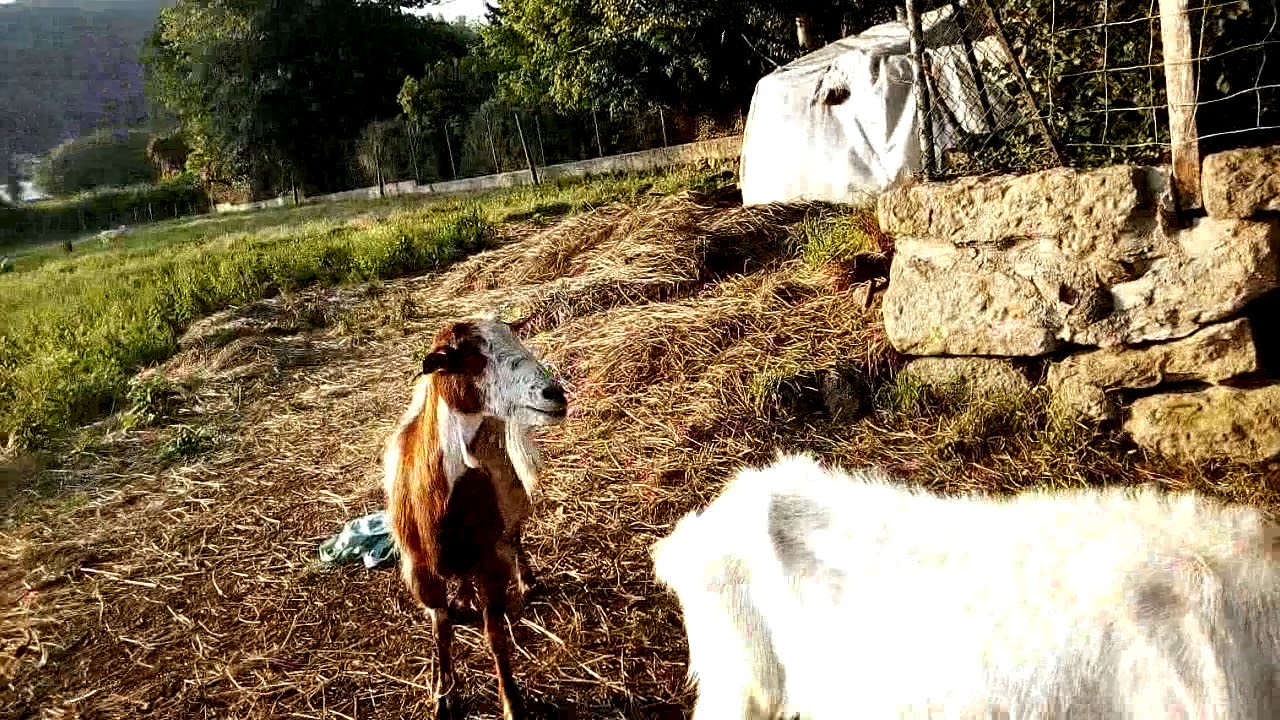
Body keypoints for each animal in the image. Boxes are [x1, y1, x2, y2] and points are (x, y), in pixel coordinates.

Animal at [384, 317, 567, 720]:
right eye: (471, 358)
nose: (555, 394)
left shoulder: (490, 560)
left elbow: (494, 634)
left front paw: (511, 702)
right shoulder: (420, 571)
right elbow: (441, 631)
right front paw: (443, 696)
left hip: (511, 499)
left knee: (515, 535)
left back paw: (527, 581)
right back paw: (465, 597)